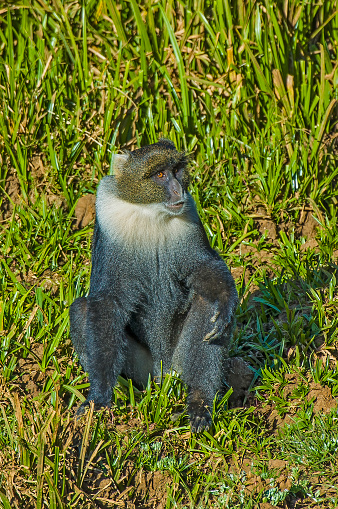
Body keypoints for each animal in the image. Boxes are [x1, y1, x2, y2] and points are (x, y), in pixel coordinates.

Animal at [69, 137, 238, 430]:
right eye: (160, 175)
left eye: (177, 170)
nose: (178, 189)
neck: (150, 211)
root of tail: (164, 370)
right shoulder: (109, 221)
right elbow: (107, 302)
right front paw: (98, 397)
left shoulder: (189, 219)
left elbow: (202, 268)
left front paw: (226, 300)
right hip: (143, 368)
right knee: (81, 310)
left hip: (180, 359)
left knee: (207, 305)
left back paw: (199, 401)